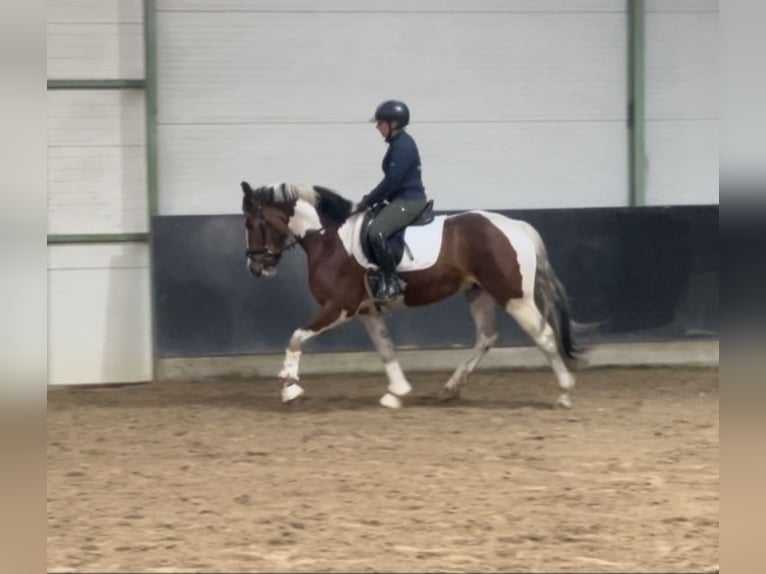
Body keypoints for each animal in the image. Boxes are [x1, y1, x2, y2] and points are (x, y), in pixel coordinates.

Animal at [241, 181, 584, 409]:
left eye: (251, 223)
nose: (254, 267)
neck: (328, 240)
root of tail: (517, 226)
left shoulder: (339, 306)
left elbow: (296, 336)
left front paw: (289, 386)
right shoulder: (366, 311)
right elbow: (385, 349)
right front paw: (397, 392)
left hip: (515, 297)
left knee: (545, 336)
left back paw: (565, 393)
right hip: (479, 293)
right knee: (487, 337)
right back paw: (451, 387)